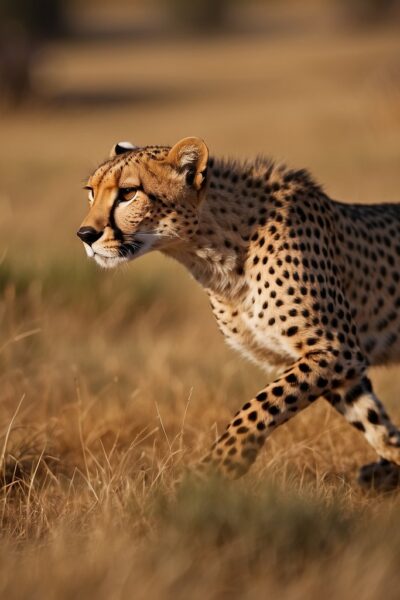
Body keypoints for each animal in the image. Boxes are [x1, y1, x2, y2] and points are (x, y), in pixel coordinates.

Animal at [78, 136, 400, 488]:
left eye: (127, 193)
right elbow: (373, 420)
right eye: (91, 191)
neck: (214, 251)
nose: (85, 235)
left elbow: (259, 405)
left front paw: (215, 468)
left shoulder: (336, 348)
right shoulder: (335, 362)